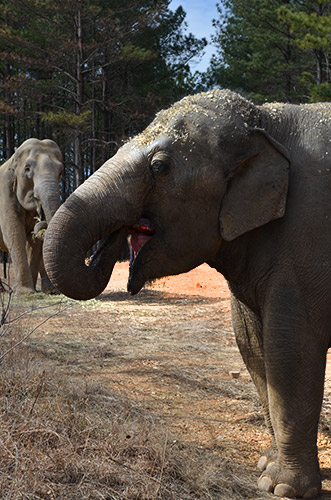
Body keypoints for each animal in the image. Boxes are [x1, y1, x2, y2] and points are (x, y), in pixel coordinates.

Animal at [0, 137, 63, 292]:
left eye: (61, 172)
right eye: (27, 169)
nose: (42, 219)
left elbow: (33, 241)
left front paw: (32, 290)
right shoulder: (5, 192)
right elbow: (14, 233)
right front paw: (25, 292)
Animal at [44, 91, 331, 500]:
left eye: (160, 167)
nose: (120, 234)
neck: (266, 121)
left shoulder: (308, 245)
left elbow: (290, 349)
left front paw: (282, 488)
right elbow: (253, 345)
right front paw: (265, 467)